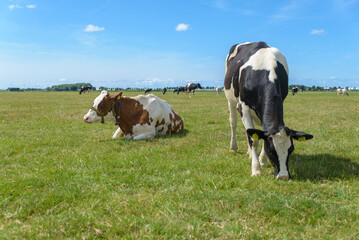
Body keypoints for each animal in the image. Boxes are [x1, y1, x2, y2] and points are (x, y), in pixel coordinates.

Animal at [224, 41, 314, 180]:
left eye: (291, 150)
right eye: (272, 151)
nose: (283, 176)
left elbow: (261, 135)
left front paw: (262, 161)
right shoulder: (243, 107)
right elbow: (254, 140)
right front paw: (256, 170)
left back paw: (250, 153)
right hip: (231, 100)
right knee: (233, 124)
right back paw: (233, 147)